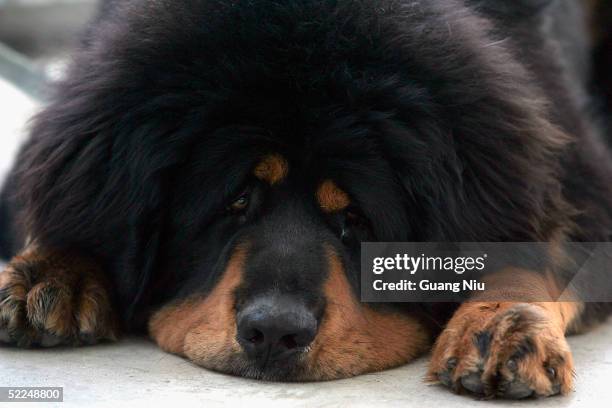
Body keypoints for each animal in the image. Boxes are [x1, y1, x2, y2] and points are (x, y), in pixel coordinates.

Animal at [1, 0, 612, 400]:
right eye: (236, 199)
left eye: (356, 217)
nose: (274, 332)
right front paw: (52, 271)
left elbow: (539, 254)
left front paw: (501, 324)